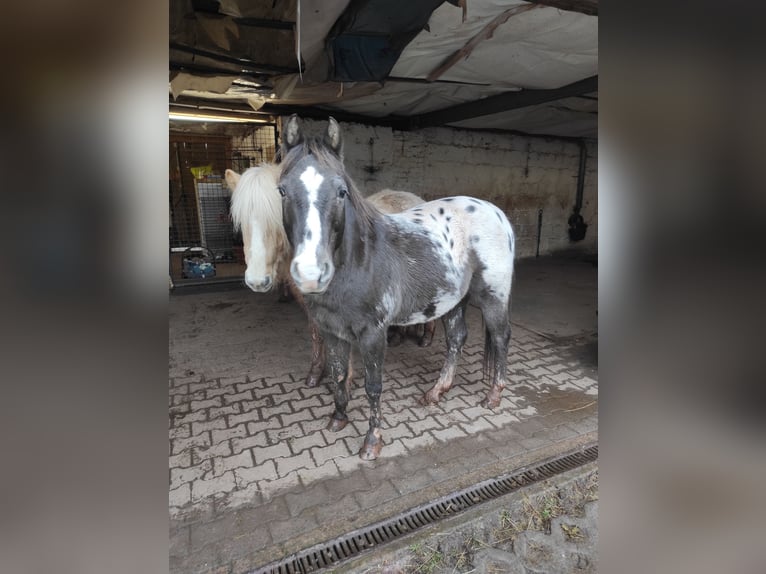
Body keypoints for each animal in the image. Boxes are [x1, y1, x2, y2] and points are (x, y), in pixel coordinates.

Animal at [225, 164, 436, 390]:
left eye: (275, 219)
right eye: (241, 222)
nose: (257, 281)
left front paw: (345, 379)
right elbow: (316, 335)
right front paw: (317, 372)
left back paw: (426, 337)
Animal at [278, 115, 516, 462]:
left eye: (341, 191)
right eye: (282, 190)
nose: (311, 273)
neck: (359, 261)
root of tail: (495, 212)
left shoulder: (373, 334)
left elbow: (373, 386)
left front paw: (371, 442)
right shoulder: (332, 332)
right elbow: (338, 375)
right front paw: (338, 418)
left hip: (493, 298)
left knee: (500, 338)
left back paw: (494, 396)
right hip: (453, 301)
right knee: (456, 339)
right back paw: (436, 391)